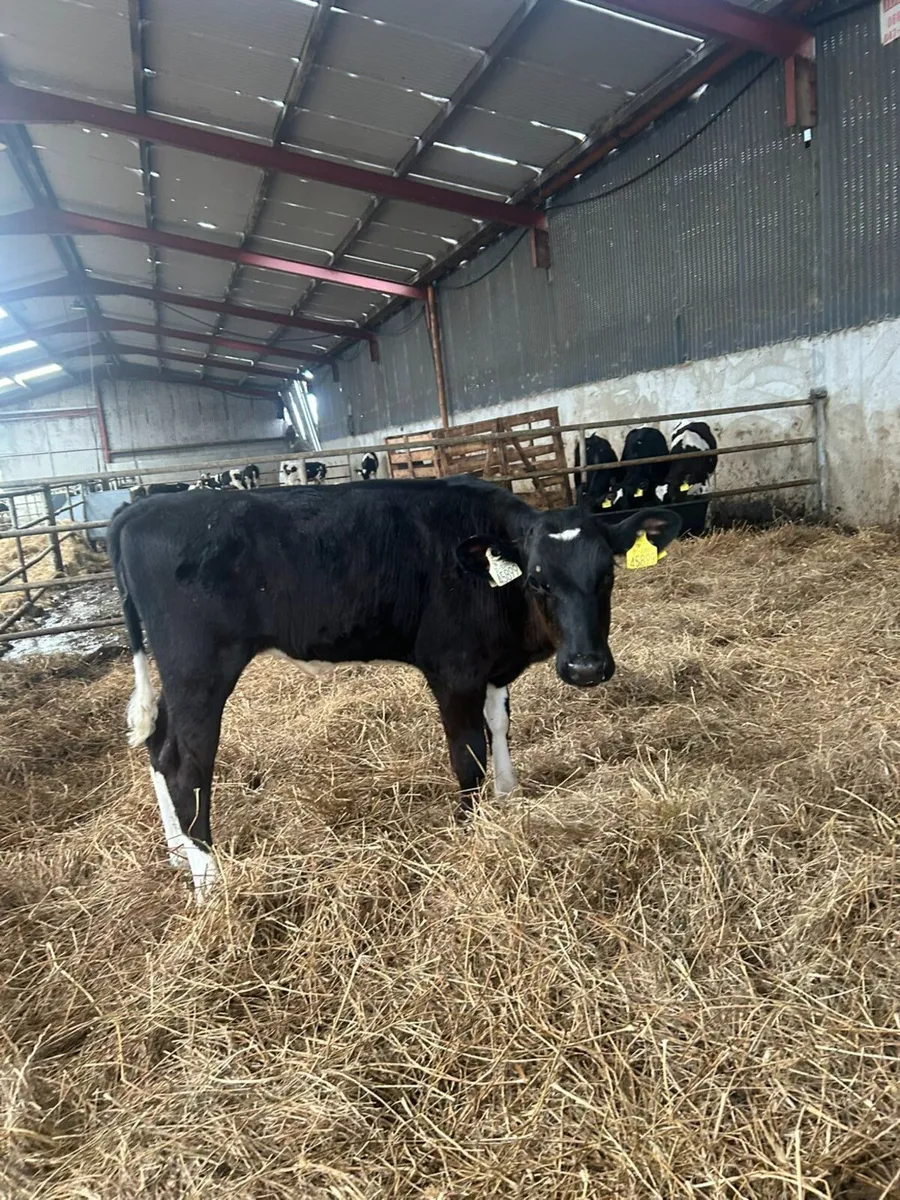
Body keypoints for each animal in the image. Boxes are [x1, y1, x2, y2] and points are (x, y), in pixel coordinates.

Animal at [108, 478, 681, 899]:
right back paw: (210, 886)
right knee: (186, 765)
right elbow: (468, 754)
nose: (585, 667)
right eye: (538, 579)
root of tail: (142, 509)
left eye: (607, 574)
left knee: (158, 744)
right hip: (199, 667)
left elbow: (500, 726)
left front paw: (509, 797)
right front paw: (468, 833)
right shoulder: (454, 669)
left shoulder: (493, 670)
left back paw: (177, 852)